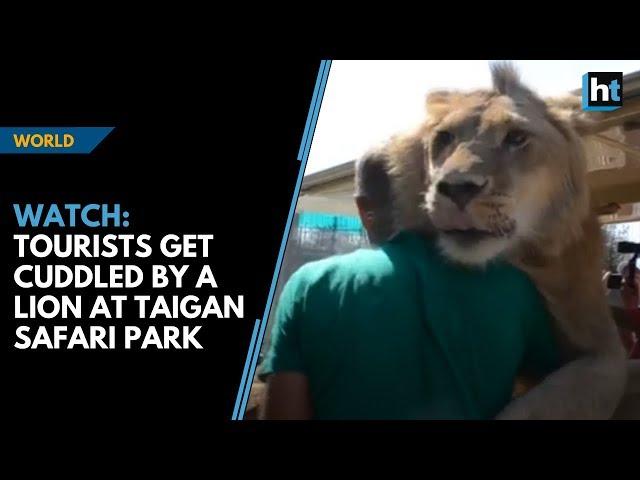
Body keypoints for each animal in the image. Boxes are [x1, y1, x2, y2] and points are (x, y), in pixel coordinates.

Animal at [372, 63, 628, 420]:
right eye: (444, 138)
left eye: (517, 138)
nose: (457, 188)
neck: (528, 259)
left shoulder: (606, 352)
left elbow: (537, 406)